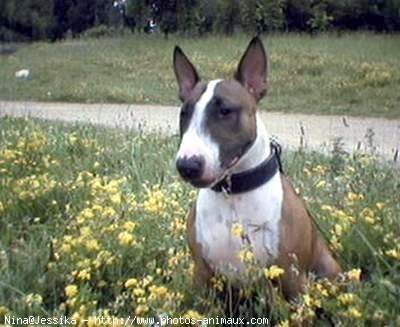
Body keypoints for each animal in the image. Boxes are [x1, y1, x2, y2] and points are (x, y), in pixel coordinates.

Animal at [172, 36, 340, 300]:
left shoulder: (292, 279)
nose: (187, 165)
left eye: (225, 111)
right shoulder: (202, 274)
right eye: (184, 113)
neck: (234, 193)